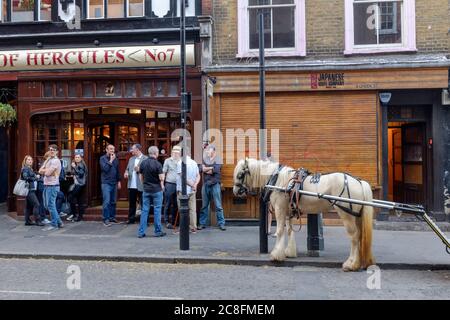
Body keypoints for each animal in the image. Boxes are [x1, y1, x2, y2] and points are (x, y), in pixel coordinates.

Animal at [234, 158, 374, 270]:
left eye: (240, 175)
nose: (235, 191)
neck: (277, 180)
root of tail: (359, 182)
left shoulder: (279, 209)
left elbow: (280, 231)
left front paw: (276, 255)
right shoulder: (288, 211)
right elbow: (289, 230)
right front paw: (289, 252)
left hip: (346, 214)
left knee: (354, 237)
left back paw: (351, 264)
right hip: (356, 216)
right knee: (359, 236)